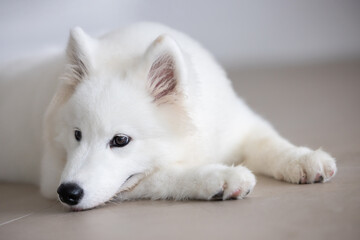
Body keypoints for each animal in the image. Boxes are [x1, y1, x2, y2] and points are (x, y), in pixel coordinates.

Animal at [0, 22, 338, 210]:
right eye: (77, 134)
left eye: (120, 140)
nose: (67, 193)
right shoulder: (50, 176)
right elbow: (161, 176)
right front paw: (221, 178)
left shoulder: (241, 125)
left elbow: (271, 143)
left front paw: (304, 159)